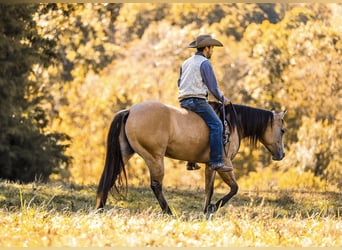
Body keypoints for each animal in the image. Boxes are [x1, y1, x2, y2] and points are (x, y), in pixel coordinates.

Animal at [94, 100, 286, 216]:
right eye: (283, 130)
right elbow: (233, 188)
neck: (231, 123)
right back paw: (169, 213)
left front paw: (207, 210)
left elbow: (209, 189)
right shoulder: (224, 164)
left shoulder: (210, 165)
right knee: (156, 185)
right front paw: (213, 207)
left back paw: (99, 209)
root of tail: (130, 111)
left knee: (110, 177)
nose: (281, 155)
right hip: (155, 158)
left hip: (125, 153)